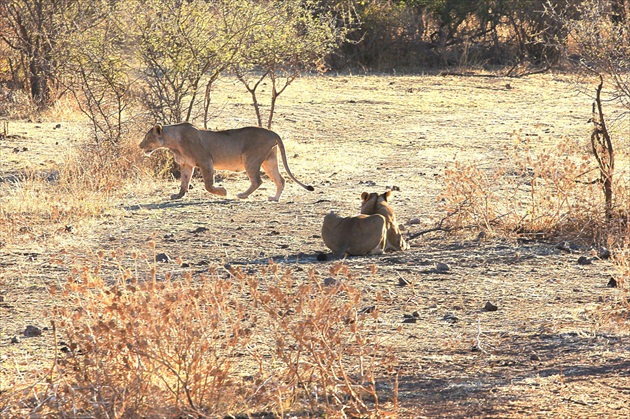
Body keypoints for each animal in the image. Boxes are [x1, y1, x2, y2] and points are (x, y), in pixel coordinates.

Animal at [140, 122, 314, 201]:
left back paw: (242, 195)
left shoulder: (206, 161)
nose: (140, 145)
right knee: (281, 180)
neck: (174, 143)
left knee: (257, 181)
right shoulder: (186, 165)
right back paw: (274, 198)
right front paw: (178, 195)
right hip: (269, 161)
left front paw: (223, 192)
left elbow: (208, 185)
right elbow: (184, 182)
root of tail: (273, 132)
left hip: (250, 159)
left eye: (148, 138)